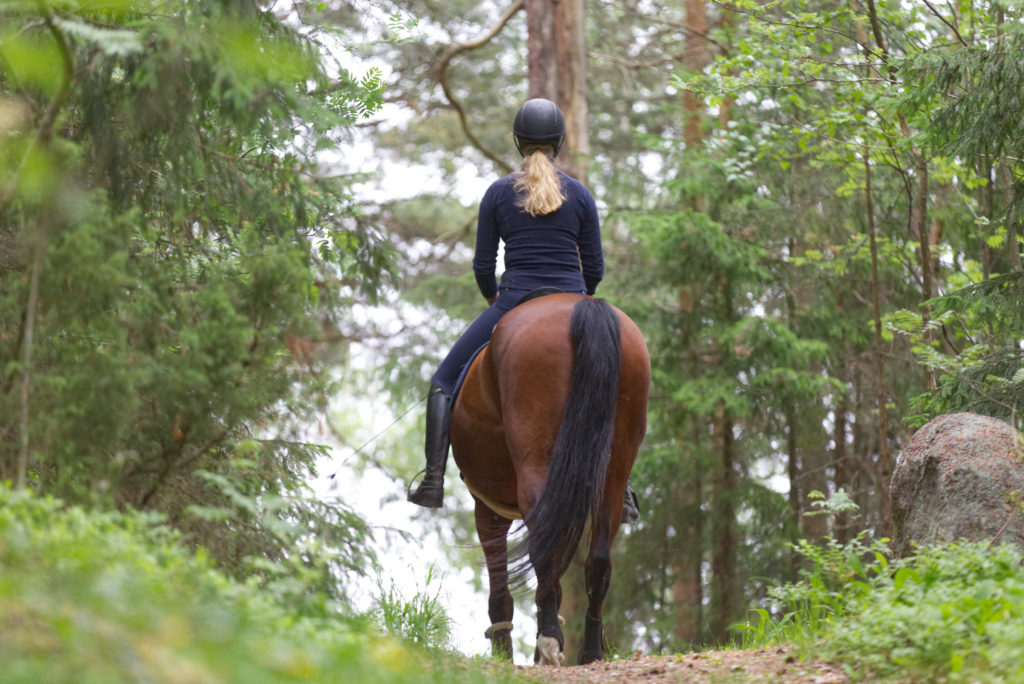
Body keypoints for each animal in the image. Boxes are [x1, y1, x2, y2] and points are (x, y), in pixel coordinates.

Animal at [448, 290, 647, 663]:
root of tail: (584, 308)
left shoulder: (488, 506)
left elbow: (500, 589)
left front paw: (504, 650)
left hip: (534, 459)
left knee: (545, 547)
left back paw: (549, 639)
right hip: (615, 466)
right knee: (598, 559)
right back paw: (590, 651)